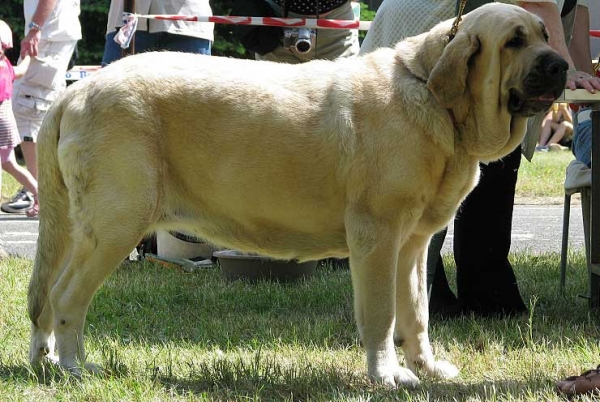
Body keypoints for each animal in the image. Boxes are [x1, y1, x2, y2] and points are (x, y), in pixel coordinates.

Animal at [28, 3, 564, 386]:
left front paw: (428, 369)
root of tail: (74, 92)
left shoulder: (412, 246)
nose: (560, 65)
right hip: (115, 226)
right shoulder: (378, 239)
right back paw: (75, 367)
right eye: (515, 41)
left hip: (77, 230)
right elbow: (382, 313)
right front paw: (387, 374)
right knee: (65, 296)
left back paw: (44, 361)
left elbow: (417, 312)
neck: (434, 96)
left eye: (544, 34)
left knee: (45, 299)